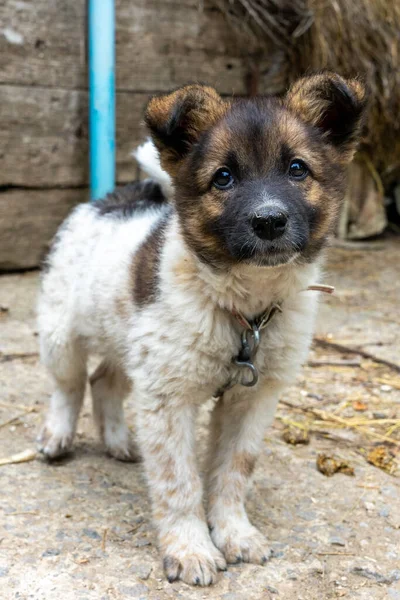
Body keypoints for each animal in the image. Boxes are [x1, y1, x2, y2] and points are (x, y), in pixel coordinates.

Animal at [36, 71, 366, 584]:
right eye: (223, 178)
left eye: (297, 169)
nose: (269, 221)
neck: (243, 312)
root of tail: (116, 198)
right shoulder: (167, 399)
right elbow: (179, 482)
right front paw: (190, 549)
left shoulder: (252, 398)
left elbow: (233, 471)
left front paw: (234, 533)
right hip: (61, 333)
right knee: (68, 386)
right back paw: (57, 437)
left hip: (127, 344)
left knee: (104, 381)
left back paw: (119, 442)